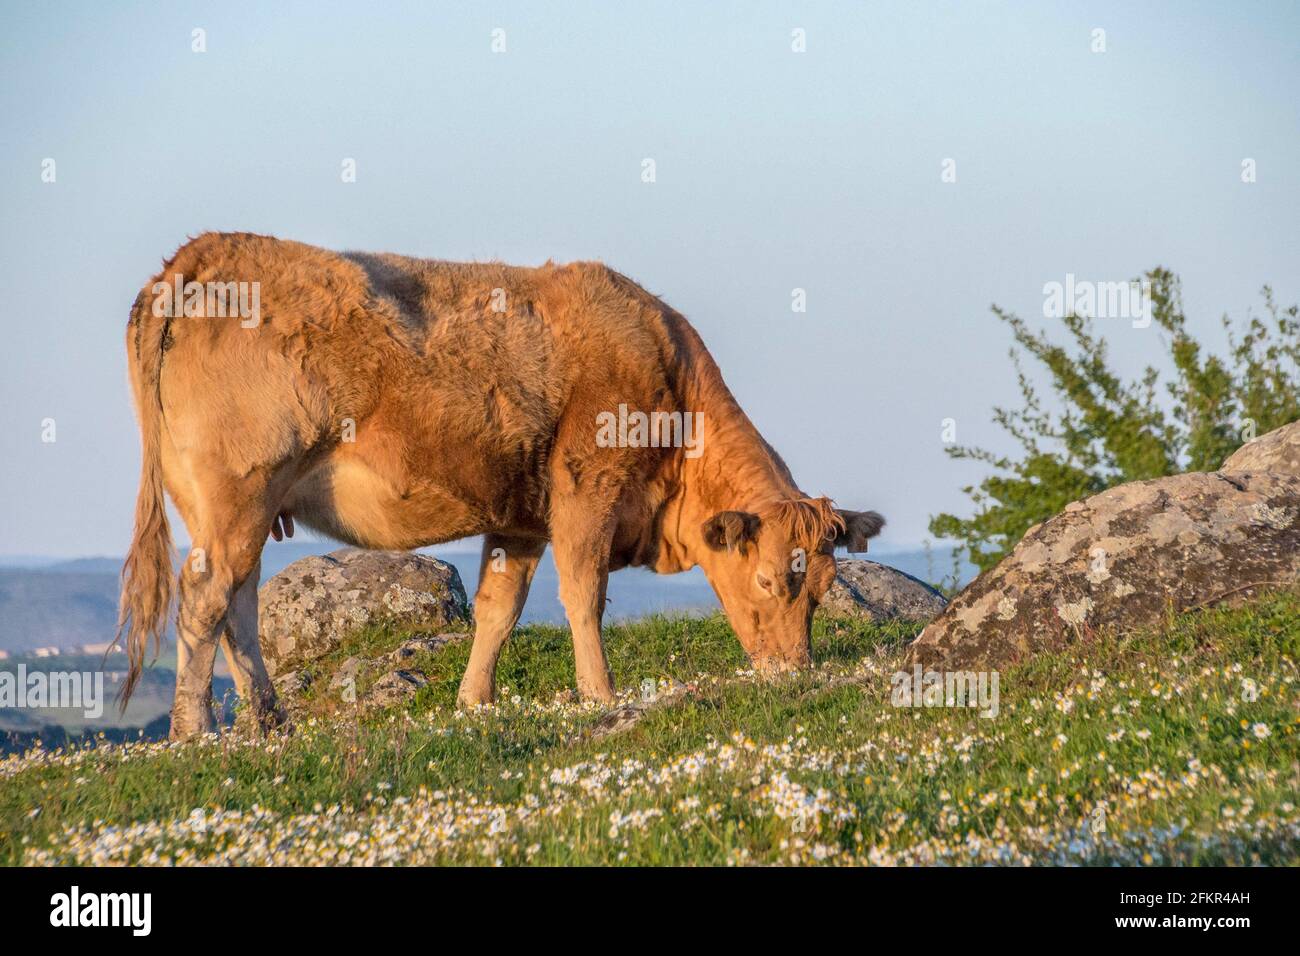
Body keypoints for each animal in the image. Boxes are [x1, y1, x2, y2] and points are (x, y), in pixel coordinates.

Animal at [117, 233, 884, 739]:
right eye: (767, 581)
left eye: (820, 588)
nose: (793, 671)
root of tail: (195, 257)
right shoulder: (586, 490)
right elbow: (583, 594)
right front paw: (600, 694)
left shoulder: (520, 517)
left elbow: (498, 608)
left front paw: (475, 701)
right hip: (239, 488)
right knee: (206, 598)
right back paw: (193, 730)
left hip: (239, 505)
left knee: (239, 603)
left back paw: (270, 720)